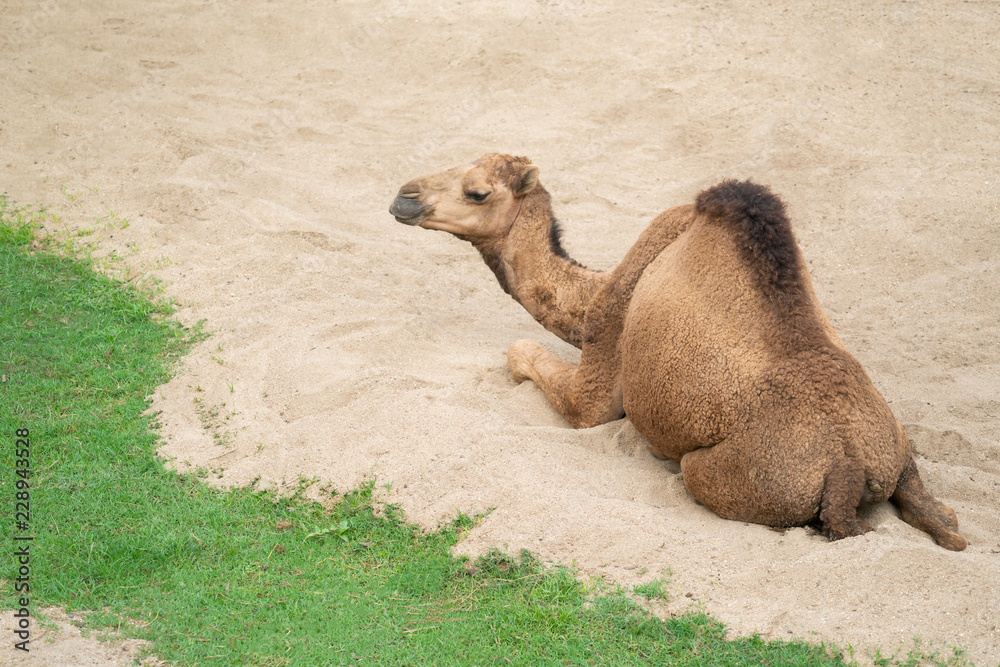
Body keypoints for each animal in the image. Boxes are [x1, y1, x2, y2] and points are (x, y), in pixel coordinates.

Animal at [386, 154, 964, 552]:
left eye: (477, 191)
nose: (404, 196)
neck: (590, 293)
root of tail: (850, 464)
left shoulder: (601, 356)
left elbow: (527, 358)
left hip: (732, 475)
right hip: (900, 453)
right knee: (941, 516)